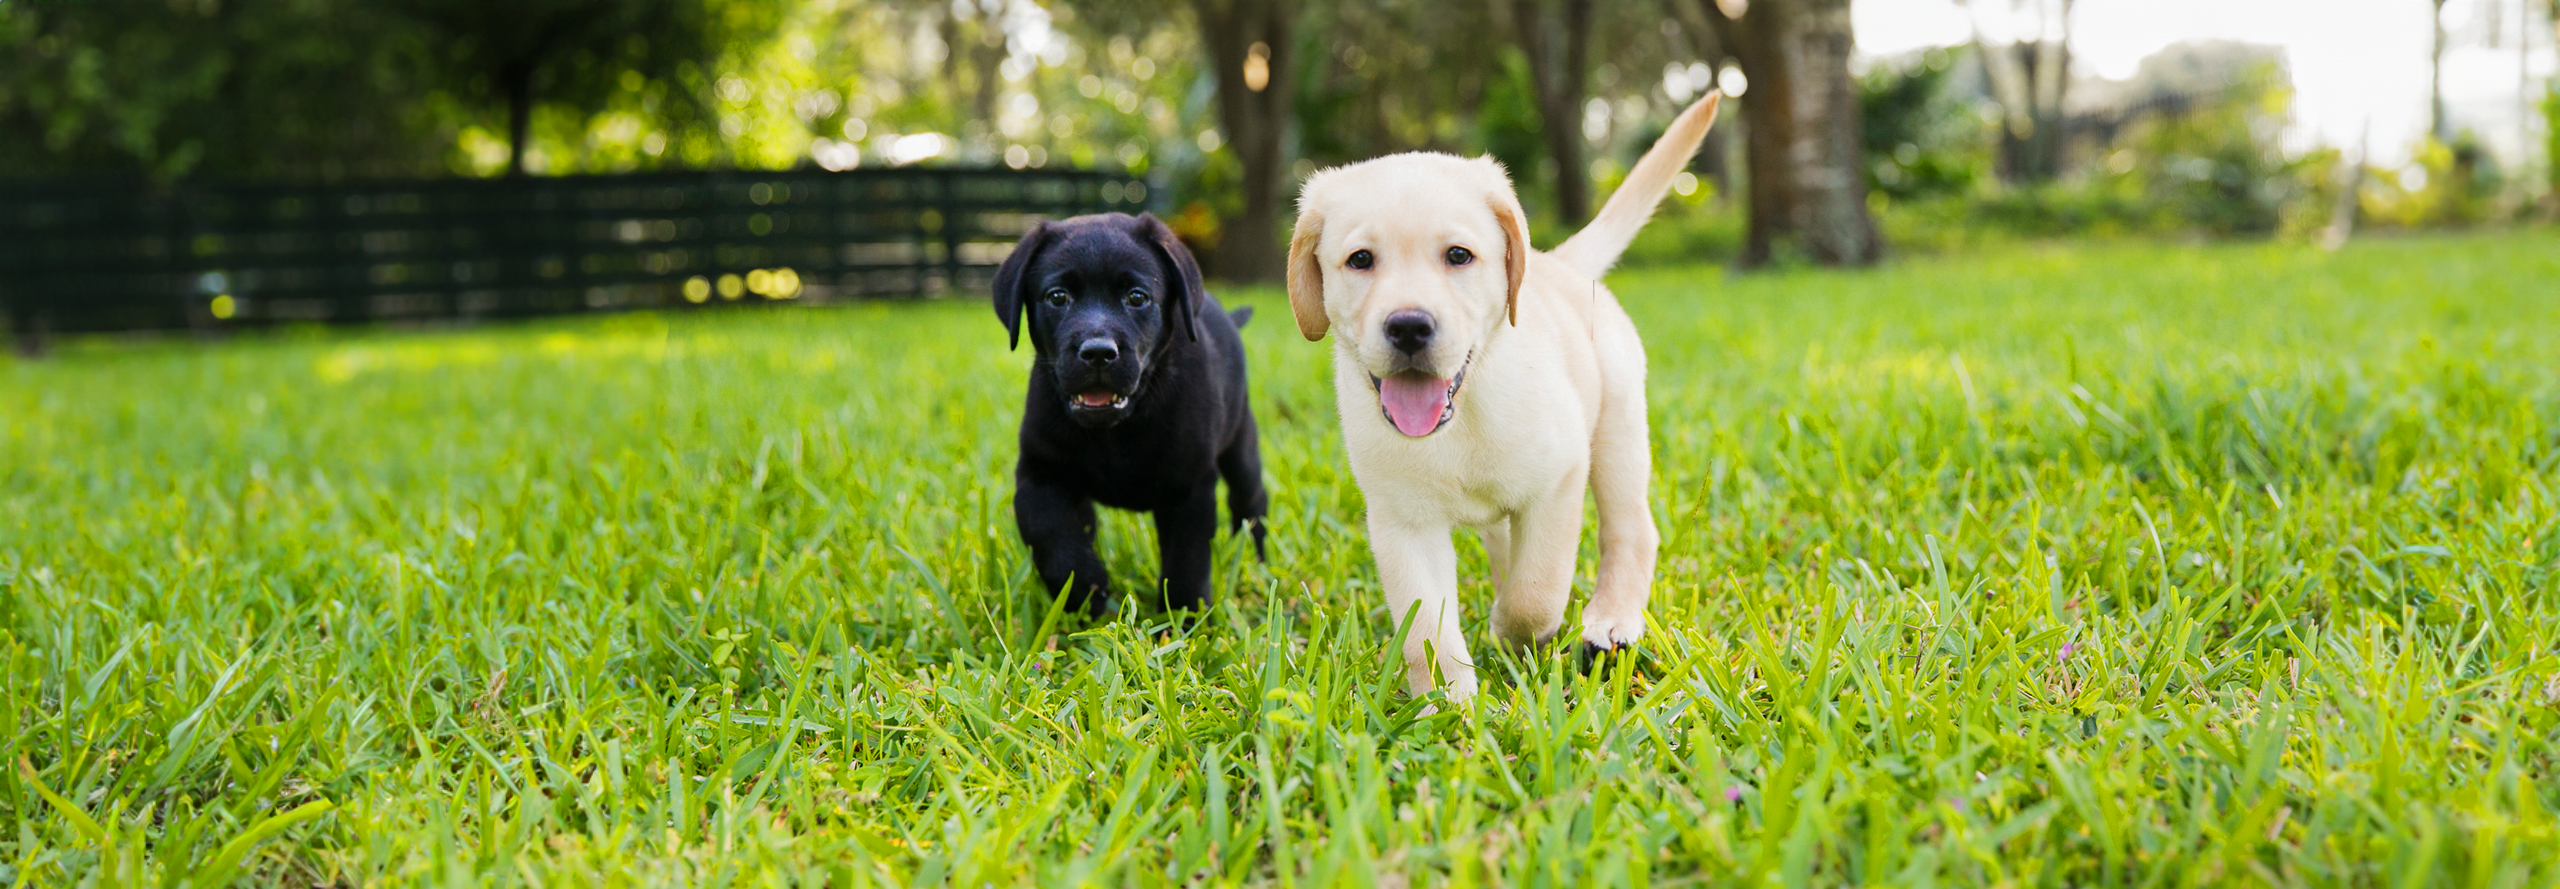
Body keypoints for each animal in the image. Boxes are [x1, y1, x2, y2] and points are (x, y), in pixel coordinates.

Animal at [1003, 213, 1274, 619]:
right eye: (1057, 297)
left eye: (1136, 297)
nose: (1098, 352)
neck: (1117, 429)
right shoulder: (1040, 470)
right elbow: (1046, 529)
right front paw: (1083, 588)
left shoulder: (1191, 486)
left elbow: (1187, 561)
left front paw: (1184, 621)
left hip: (1241, 445)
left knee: (1250, 504)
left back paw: (1257, 566)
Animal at [1280, 92, 1720, 701]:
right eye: (1361, 260)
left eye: (1459, 255)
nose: (1409, 327)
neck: (1462, 415)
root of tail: (1559, 262)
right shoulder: (1402, 523)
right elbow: (1427, 630)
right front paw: (1450, 706)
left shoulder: (1558, 482)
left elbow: (1536, 590)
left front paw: (1516, 635)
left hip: (1618, 433)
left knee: (1631, 530)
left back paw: (1611, 620)